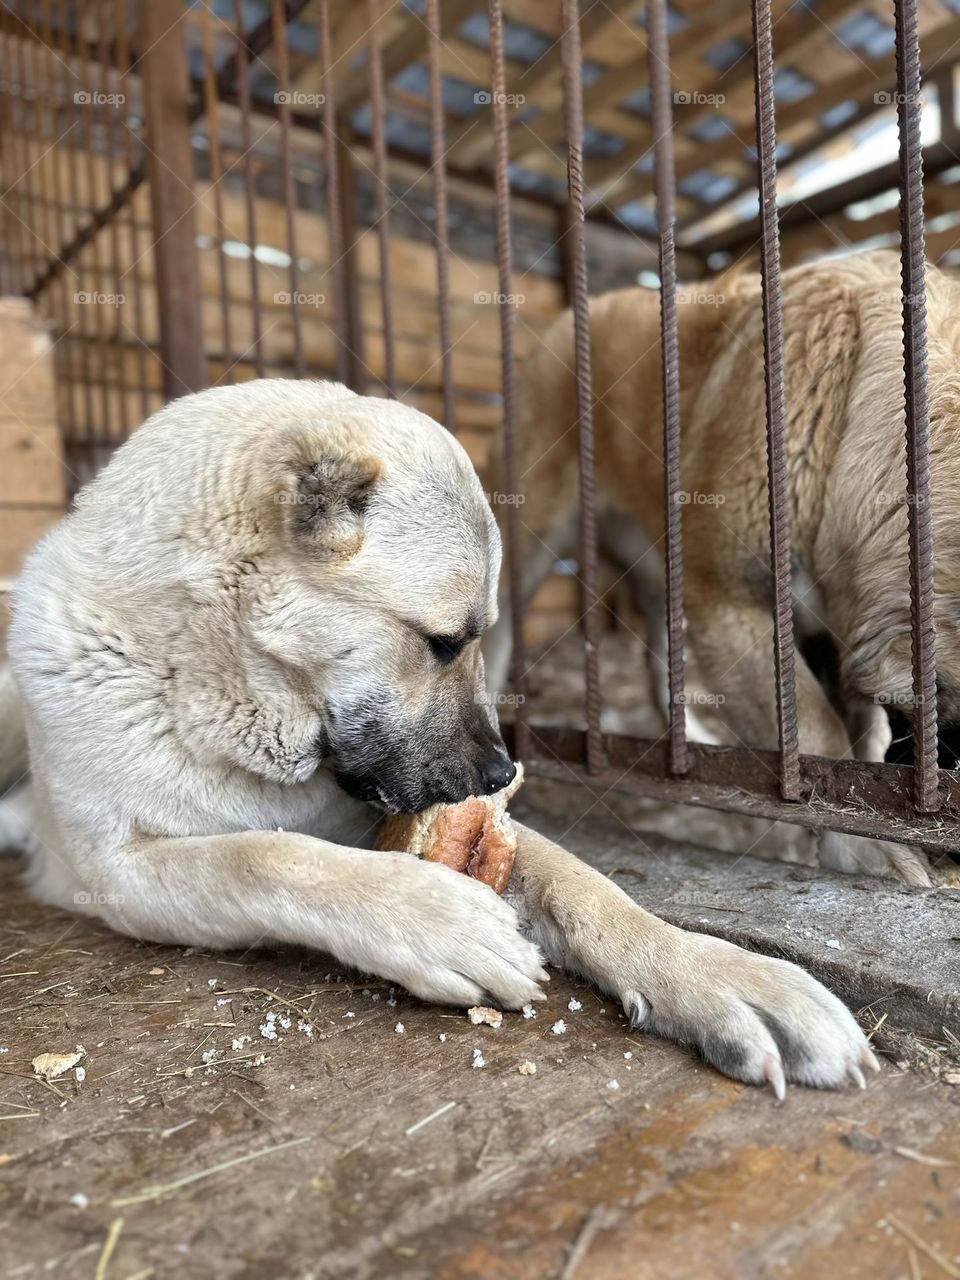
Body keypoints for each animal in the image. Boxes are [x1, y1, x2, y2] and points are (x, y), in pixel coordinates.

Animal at [0, 378, 885, 1100]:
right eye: (445, 641)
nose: (499, 772)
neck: (213, 690)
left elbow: (589, 888)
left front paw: (710, 973)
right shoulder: (114, 872)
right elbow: (267, 856)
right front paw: (433, 922)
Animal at [488, 249, 960, 890]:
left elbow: (858, 732)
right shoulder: (730, 605)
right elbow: (817, 731)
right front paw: (868, 851)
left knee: (658, 661)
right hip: (529, 533)